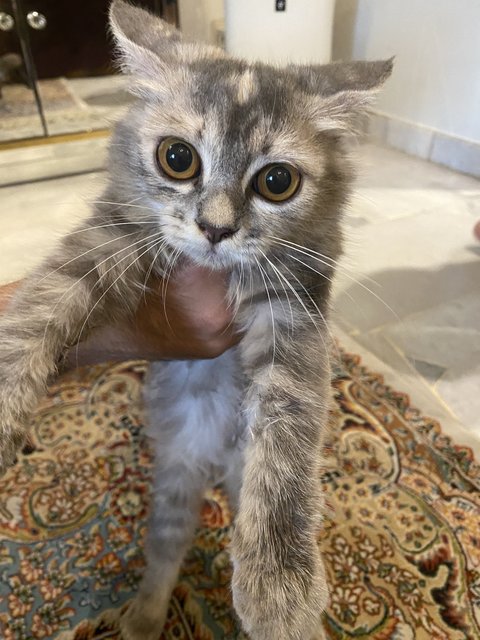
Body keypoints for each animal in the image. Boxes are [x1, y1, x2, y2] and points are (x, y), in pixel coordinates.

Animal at [0, 2, 392, 636]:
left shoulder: (296, 310)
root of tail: (209, 456)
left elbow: (288, 443)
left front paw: (278, 588)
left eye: (277, 181)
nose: (215, 227)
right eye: (177, 158)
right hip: (177, 476)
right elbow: (37, 309)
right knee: (166, 547)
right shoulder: (105, 238)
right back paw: (143, 617)